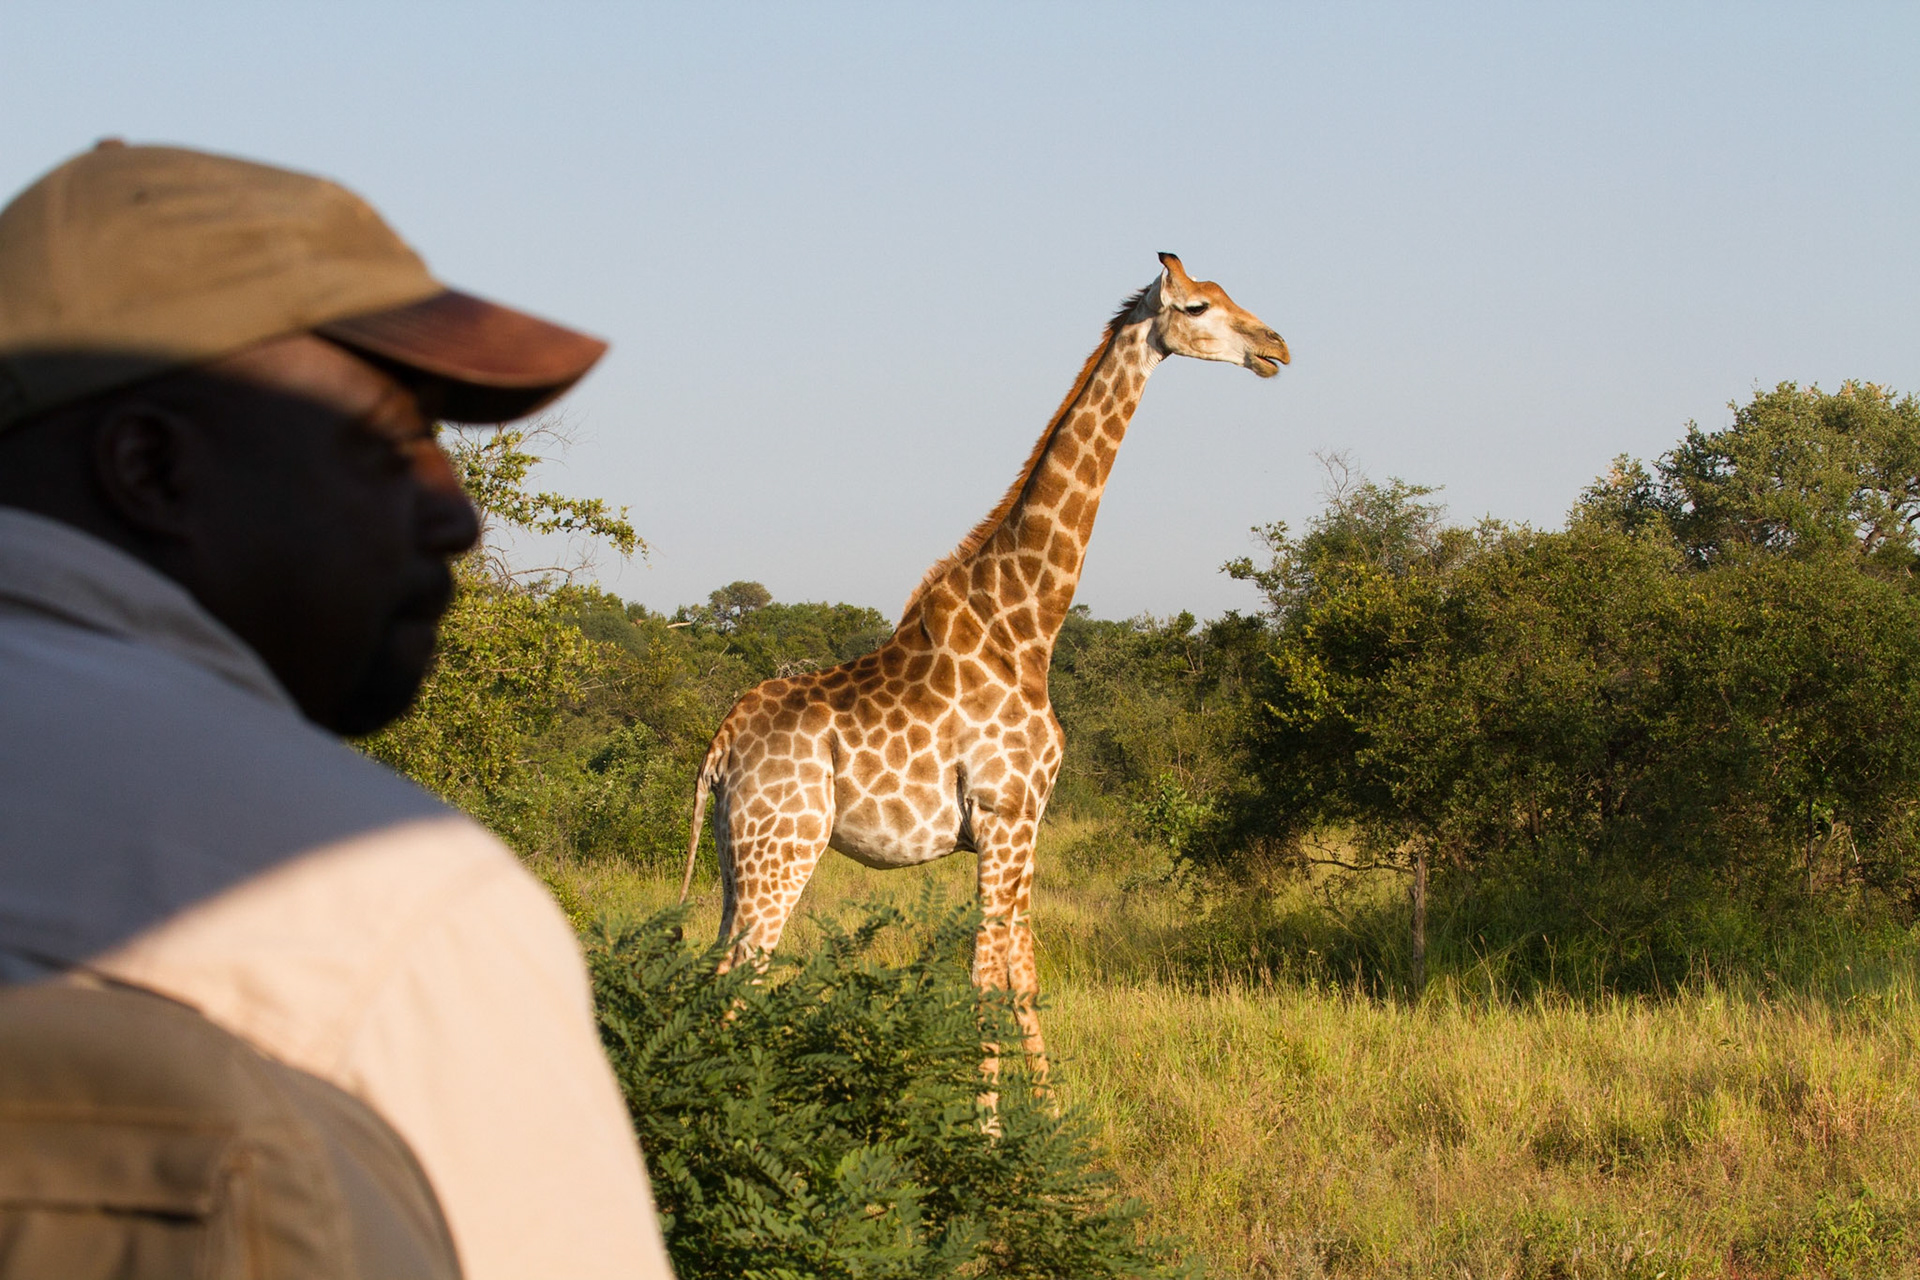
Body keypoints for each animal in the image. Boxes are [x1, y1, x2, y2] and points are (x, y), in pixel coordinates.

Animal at [680, 253, 1288, 1067]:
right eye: (1197, 306)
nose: (1277, 348)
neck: (1026, 626)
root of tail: (720, 746)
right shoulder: (1003, 814)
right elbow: (984, 979)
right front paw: (991, 1107)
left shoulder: (1028, 821)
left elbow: (1022, 976)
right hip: (784, 846)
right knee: (735, 984)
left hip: (733, 855)